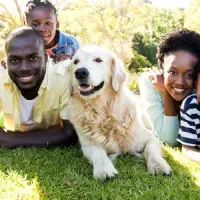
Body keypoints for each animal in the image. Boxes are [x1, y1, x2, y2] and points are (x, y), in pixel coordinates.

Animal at [66, 46, 171, 180]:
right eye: (76, 62)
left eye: (98, 60)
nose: (80, 72)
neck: (103, 113)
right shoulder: (88, 145)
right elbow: (98, 152)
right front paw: (104, 170)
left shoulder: (150, 138)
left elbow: (151, 149)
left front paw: (158, 165)